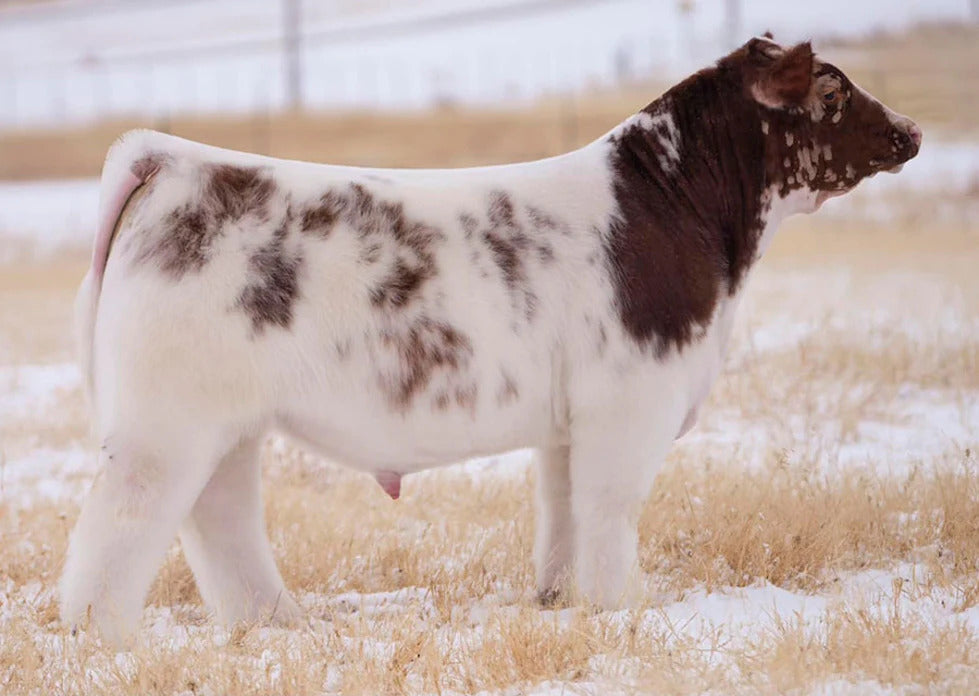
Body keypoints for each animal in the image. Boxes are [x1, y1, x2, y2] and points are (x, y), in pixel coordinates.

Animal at [60, 36, 921, 644]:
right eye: (832, 90)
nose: (910, 131)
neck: (683, 208)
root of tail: (172, 156)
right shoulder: (631, 402)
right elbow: (610, 508)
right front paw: (625, 608)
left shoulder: (570, 424)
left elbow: (564, 512)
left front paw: (562, 603)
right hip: (164, 426)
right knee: (122, 528)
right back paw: (106, 643)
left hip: (222, 422)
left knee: (220, 515)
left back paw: (274, 622)